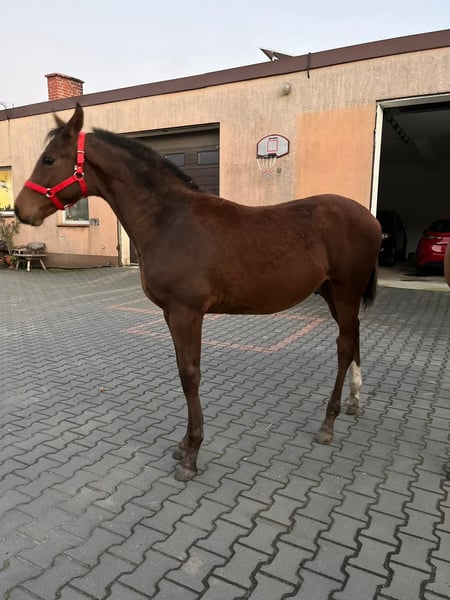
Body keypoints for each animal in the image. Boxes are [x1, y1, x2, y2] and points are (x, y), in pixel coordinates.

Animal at [15, 104, 382, 481]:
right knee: (353, 337)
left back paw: (328, 423)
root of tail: (370, 219)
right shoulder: (169, 313)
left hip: (345, 292)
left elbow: (190, 375)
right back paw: (354, 402)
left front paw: (191, 454)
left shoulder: (186, 312)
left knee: (343, 346)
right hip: (333, 295)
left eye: (48, 159)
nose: (19, 209)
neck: (170, 221)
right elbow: (183, 370)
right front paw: (183, 445)